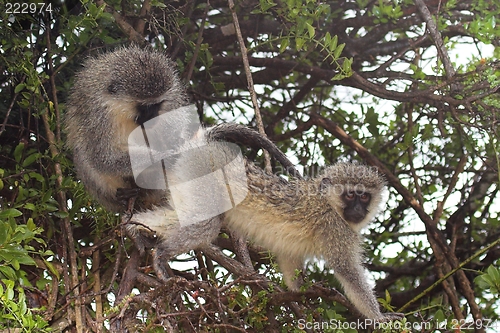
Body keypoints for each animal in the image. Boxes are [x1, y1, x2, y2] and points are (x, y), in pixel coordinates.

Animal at [65, 45, 300, 211]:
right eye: (144, 106)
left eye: (157, 104)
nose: (152, 118)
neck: (120, 111)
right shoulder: (98, 117)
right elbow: (103, 159)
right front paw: (164, 156)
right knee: (86, 157)